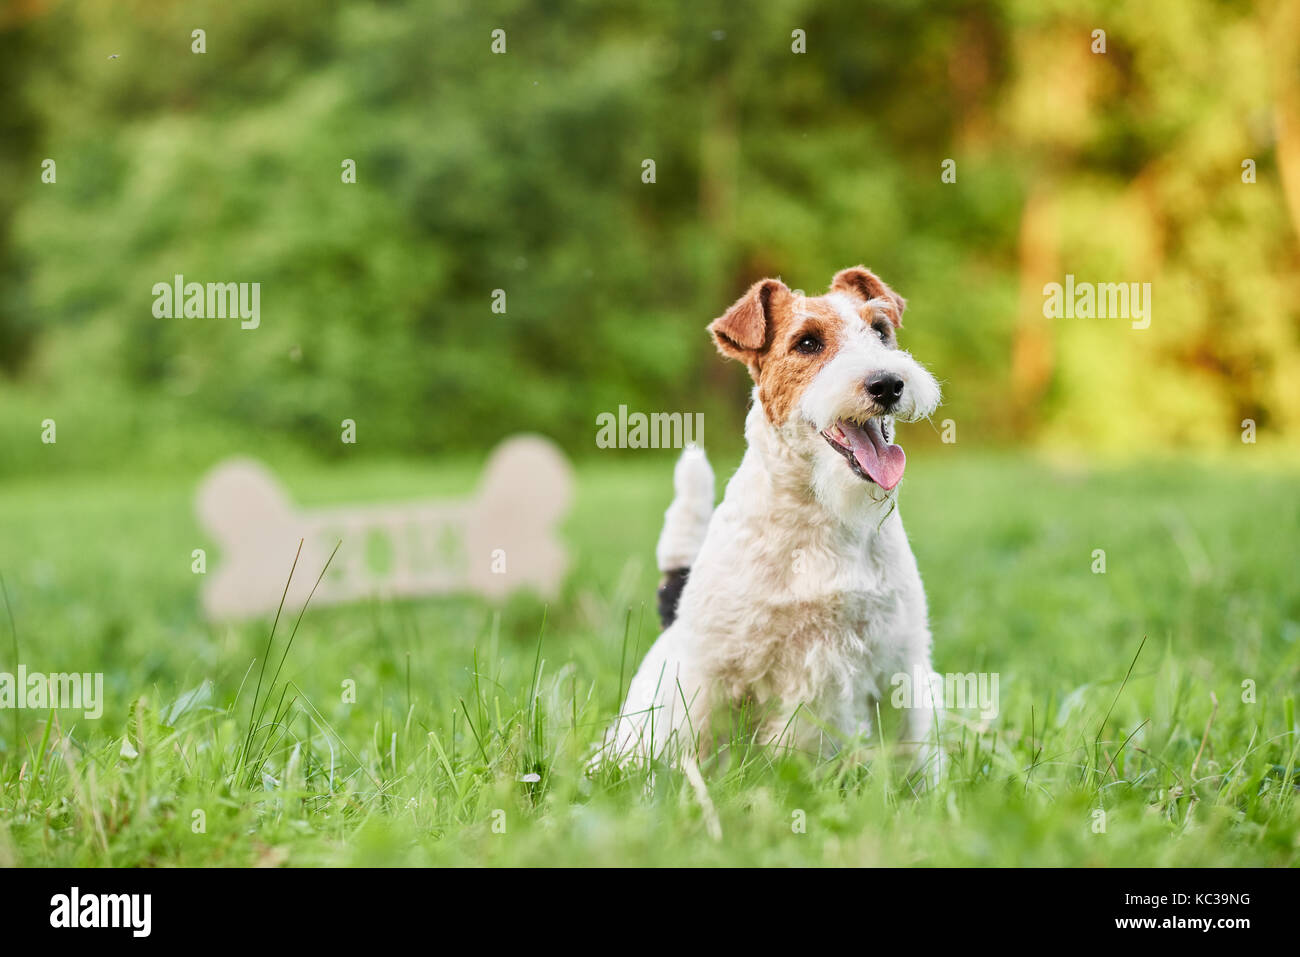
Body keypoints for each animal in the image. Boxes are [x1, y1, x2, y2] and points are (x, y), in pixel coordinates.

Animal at [598, 265, 946, 780]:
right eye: (807, 343)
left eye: (881, 331)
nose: (887, 384)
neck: (822, 515)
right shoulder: (708, 674)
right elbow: (691, 750)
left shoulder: (900, 664)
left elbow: (912, 760)